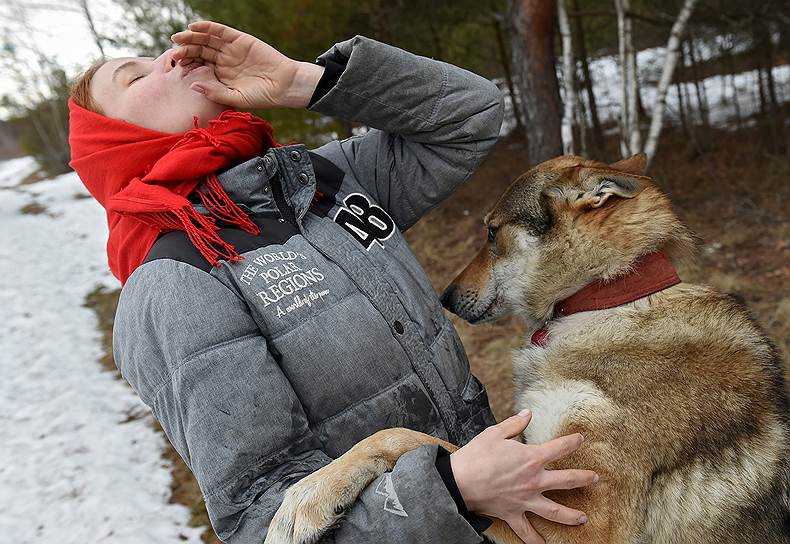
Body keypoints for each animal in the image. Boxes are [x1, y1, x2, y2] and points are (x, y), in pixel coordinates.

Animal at [268, 153, 790, 544]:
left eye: (491, 233)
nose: (446, 298)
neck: (609, 298)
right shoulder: (526, 458)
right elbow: (404, 438)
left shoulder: (569, 522)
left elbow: (402, 435)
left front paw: (303, 500)